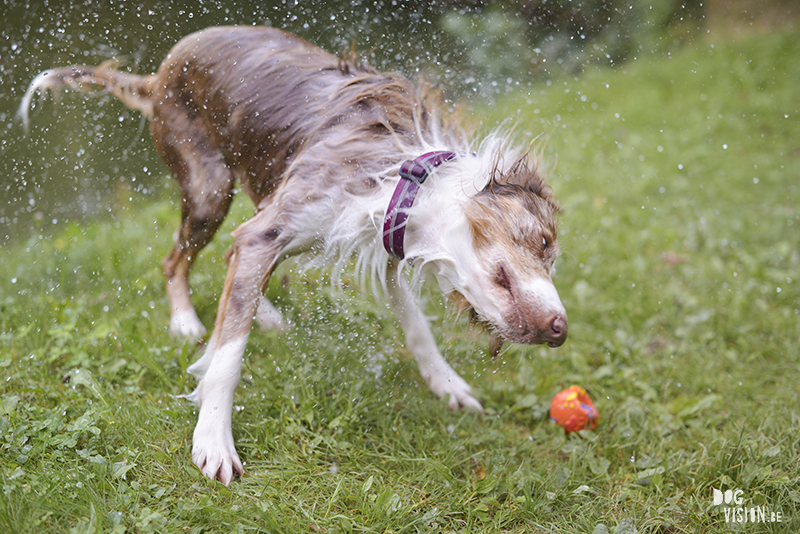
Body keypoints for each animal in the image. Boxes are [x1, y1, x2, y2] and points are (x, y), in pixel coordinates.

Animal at [20, 24, 568, 486]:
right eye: (544, 243)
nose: (561, 329)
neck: (407, 176)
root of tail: (158, 74)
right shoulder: (269, 232)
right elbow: (227, 358)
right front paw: (212, 438)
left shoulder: (381, 244)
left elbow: (417, 328)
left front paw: (447, 383)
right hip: (209, 189)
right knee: (176, 261)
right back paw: (185, 321)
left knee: (227, 264)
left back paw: (262, 313)